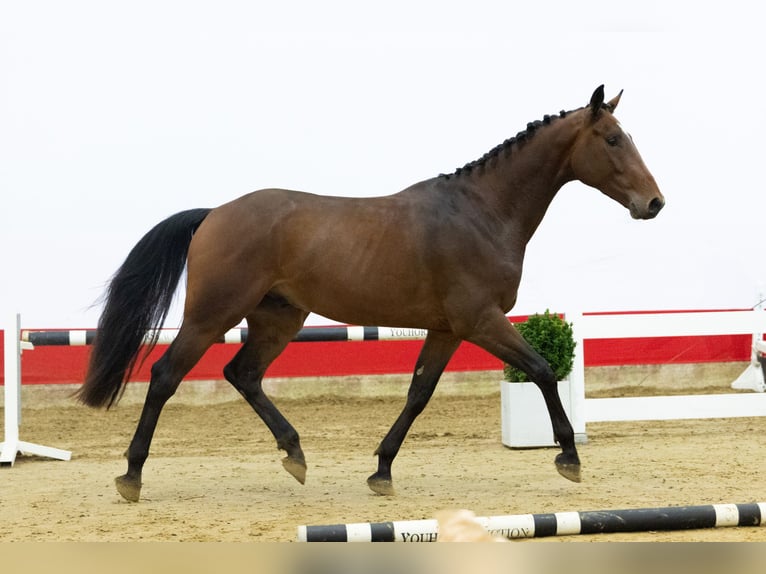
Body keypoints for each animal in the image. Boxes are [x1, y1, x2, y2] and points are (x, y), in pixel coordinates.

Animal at [77, 85, 664, 502]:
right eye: (613, 139)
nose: (654, 203)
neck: (481, 212)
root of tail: (215, 213)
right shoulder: (481, 321)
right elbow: (542, 370)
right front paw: (569, 459)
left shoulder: (447, 329)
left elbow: (418, 393)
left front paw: (381, 470)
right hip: (211, 316)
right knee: (165, 375)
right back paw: (131, 475)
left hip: (278, 319)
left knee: (242, 374)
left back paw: (295, 454)